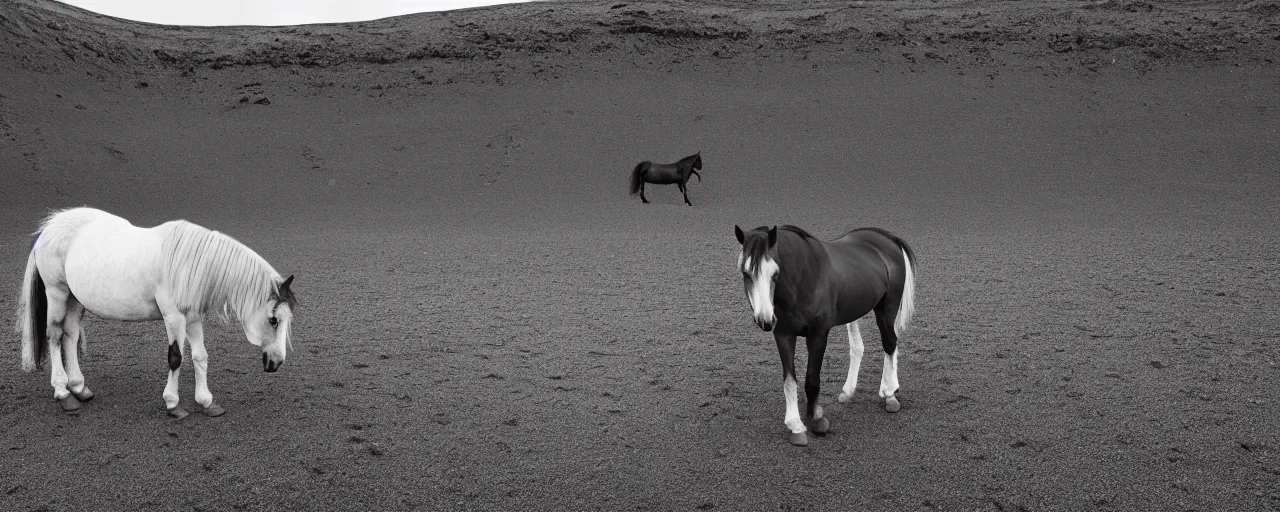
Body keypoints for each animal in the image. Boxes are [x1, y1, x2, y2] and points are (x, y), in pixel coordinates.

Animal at [13, 206, 296, 417]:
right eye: (273, 320)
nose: (276, 363)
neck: (189, 263)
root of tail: (51, 226)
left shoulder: (193, 317)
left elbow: (201, 356)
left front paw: (207, 402)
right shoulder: (173, 317)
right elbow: (176, 357)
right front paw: (173, 404)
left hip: (75, 299)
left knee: (70, 336)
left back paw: (79, 388)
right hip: (57, 293)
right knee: (54, 336)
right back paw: (63, 393)